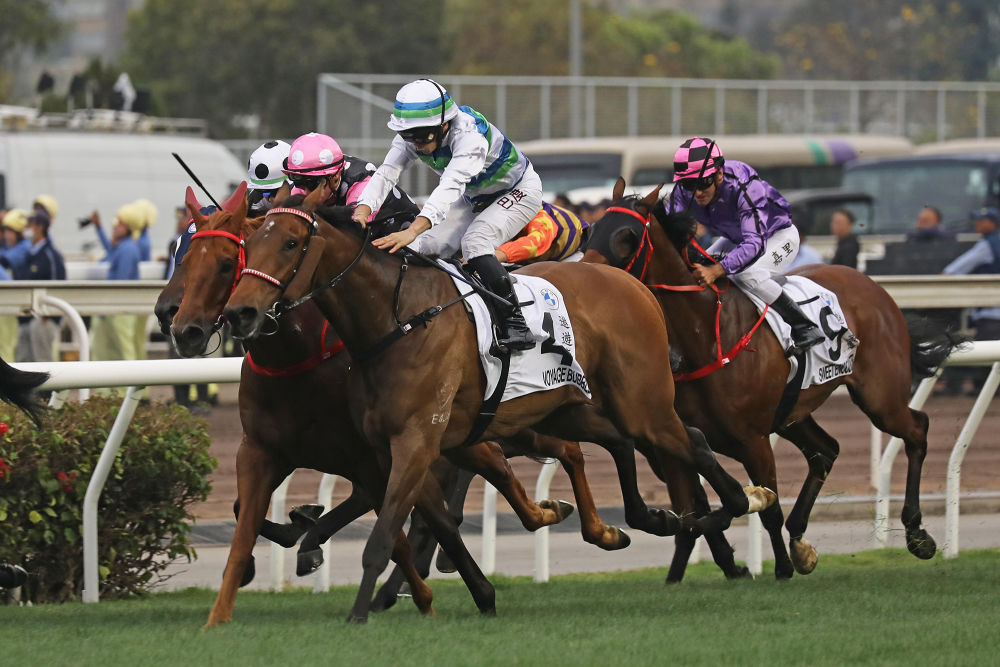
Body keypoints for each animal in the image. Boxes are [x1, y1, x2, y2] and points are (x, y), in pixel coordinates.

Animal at [223, 185, 776, 624]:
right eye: (249, 243)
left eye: (290, 243)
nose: (239, 313)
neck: (397, 319)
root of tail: (633, 284)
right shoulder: (396, 447)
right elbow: (429, 522)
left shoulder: (417, 441)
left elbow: (385, 535)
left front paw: (359, 612)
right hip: (571, 406)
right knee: (643, 442)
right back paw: (660, 520)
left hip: (642, 403)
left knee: (687, 444)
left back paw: (743, 501)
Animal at [584, 180, 960, 580]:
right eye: (592, 230)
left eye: (627, 236)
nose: (588, 279)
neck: (705, 337)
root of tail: (873, 286)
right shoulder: (672, 444)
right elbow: (691, 517)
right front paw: (681, 571)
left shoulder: (754, 440)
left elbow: (763, 510)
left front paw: (778, 568)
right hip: (792, 413)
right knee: (826, 450)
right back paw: (801, 540)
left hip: (879, 397)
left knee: (916, 429)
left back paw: (916, 533)